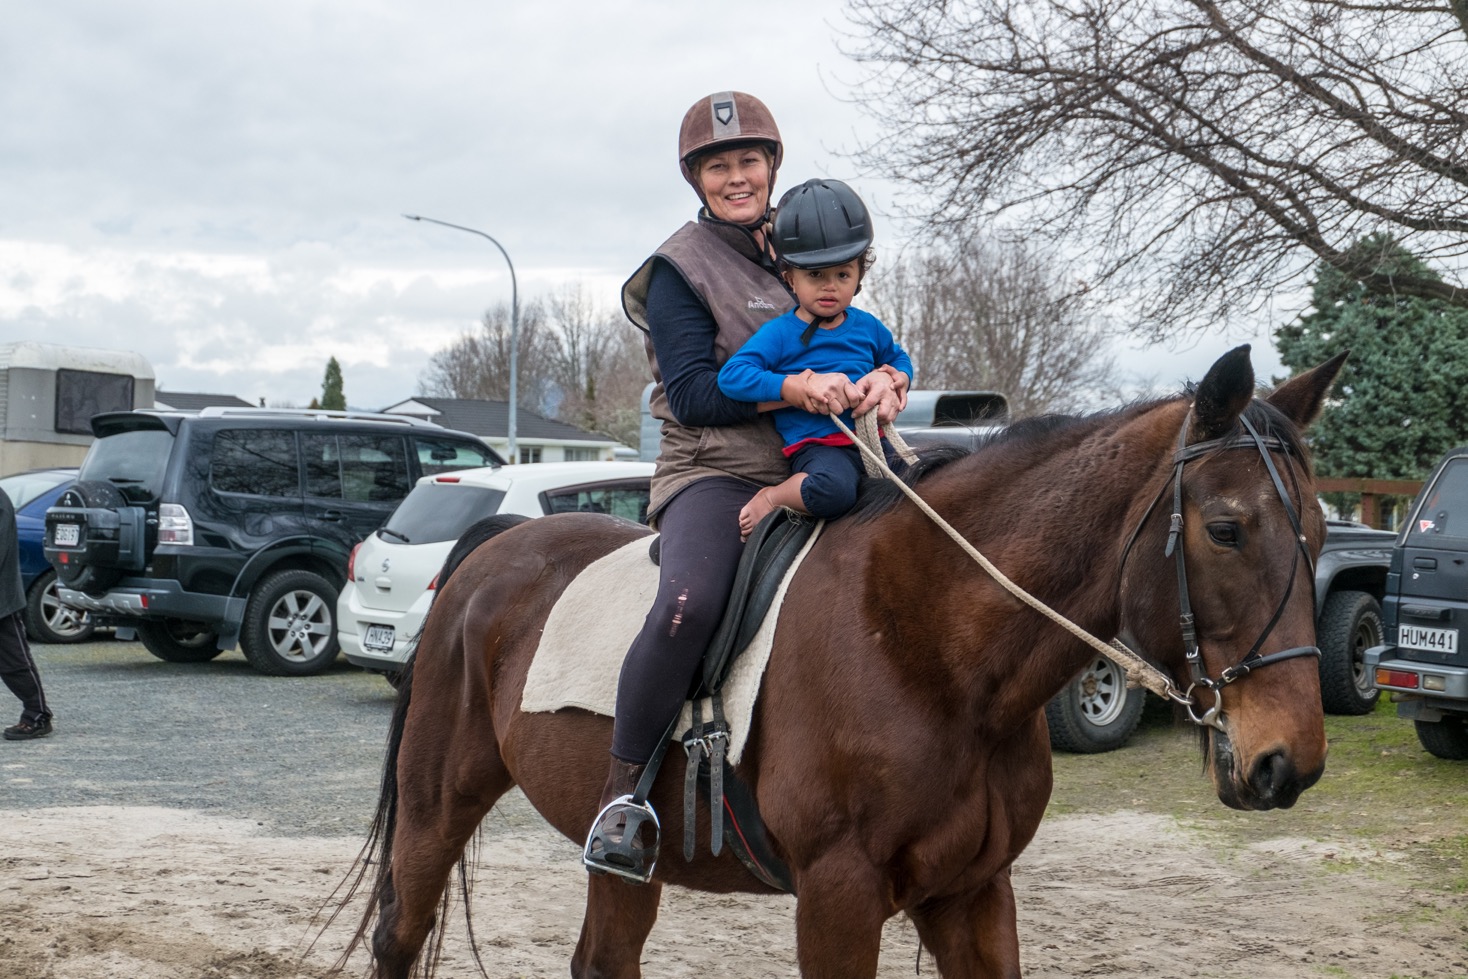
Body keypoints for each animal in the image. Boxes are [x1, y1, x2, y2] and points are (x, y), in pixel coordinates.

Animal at [340, 345, 1343, 978]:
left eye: (1322, 531)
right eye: (1226, 529)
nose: (1286, 762)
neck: (930, 645)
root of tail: (492, 544)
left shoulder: (975, 893)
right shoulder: (838, 898)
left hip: (624, 858)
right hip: (438, 805)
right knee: (399, 936)